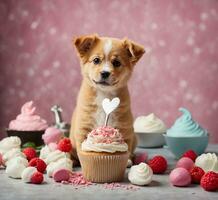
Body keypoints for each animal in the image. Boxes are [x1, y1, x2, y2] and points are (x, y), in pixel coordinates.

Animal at [70, 33, 145, 163]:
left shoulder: (124, 126)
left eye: (116, 63)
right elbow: (81, 147)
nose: (105, 73)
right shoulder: (83, 126)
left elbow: (127, 146)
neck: (104, 94)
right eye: (96, 60)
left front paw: (128, 161)